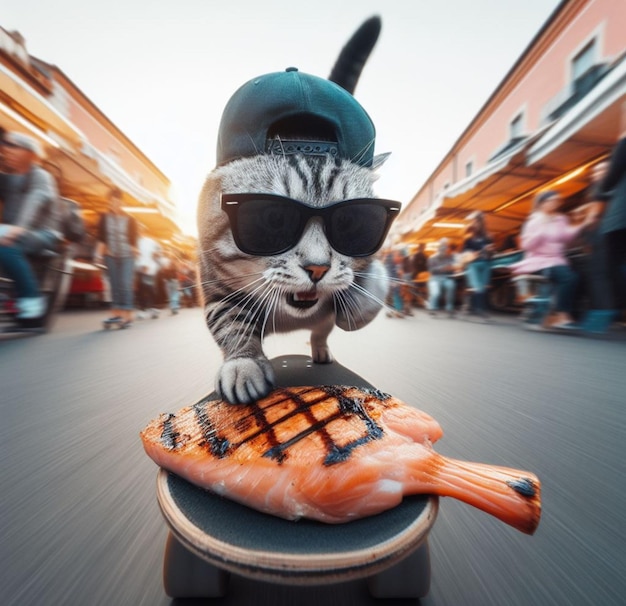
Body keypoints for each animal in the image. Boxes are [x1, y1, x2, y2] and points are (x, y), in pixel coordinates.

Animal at [197, 15, 398, 404]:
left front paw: (356, 299)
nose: (318, 268)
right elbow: (230, 322)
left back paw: (321, 348)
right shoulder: (215, 287)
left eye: (350, 222)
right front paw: (243, 364)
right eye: (272, 218)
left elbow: (365, 292)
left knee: (321, 330)